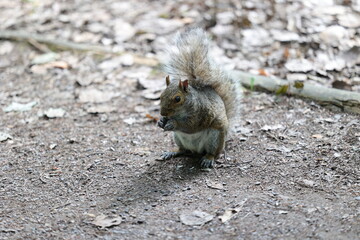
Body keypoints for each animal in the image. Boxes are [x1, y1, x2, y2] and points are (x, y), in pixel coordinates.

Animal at [158, 28, 242, 168]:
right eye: (160, 96)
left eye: (177, 99)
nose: (163, 113)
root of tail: (196, 150)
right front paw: (160, 121)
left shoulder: (202, 114)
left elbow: (191, 126)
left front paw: (173, 123)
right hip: (178, 138)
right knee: (182, 150)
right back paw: (171, 152)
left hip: (215, 138)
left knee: (213, 153)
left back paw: (208, 158)